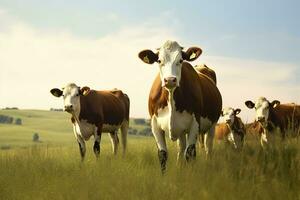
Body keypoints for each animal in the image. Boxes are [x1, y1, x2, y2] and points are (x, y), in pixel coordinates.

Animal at [138, 40, 223, 172]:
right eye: (159, 61)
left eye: (181, 60)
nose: (170, 80)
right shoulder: (155, 124)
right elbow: (163, 154)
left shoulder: (195, 123)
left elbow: (190, 153)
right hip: (182, 130)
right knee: (181, 146)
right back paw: (179, 165)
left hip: (212, 124)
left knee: (208, 147)